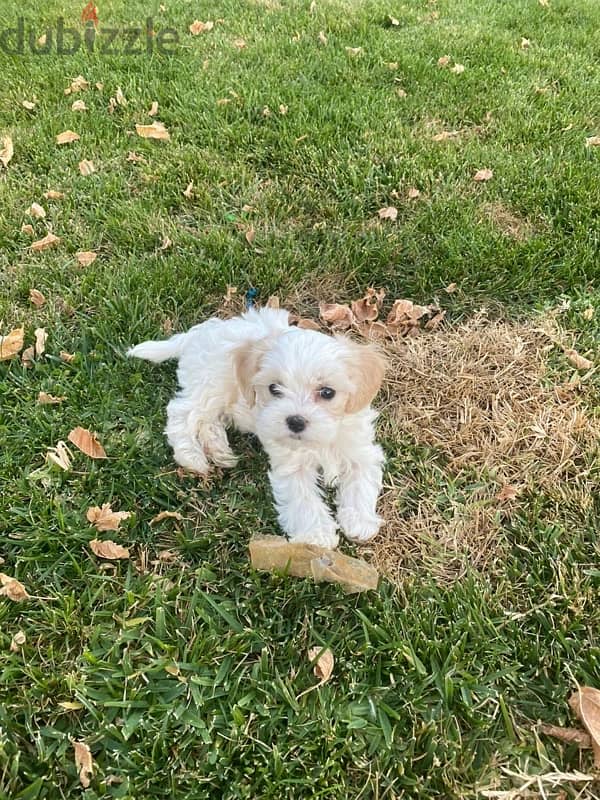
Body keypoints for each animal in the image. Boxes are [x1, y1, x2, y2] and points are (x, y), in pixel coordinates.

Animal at [129, 308, 386, 552]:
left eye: (327, 392)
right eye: (274, 388)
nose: (295, 421)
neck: (321, 439)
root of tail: (197, 334)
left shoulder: (361, 450)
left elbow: (361, 483)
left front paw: (360, 522)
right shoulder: (291, 465)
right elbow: (302, 498)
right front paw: (317, 536)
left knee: (208, 421)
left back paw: (220, 451)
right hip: (210, 386)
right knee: (181, 413)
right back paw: (192, 457)